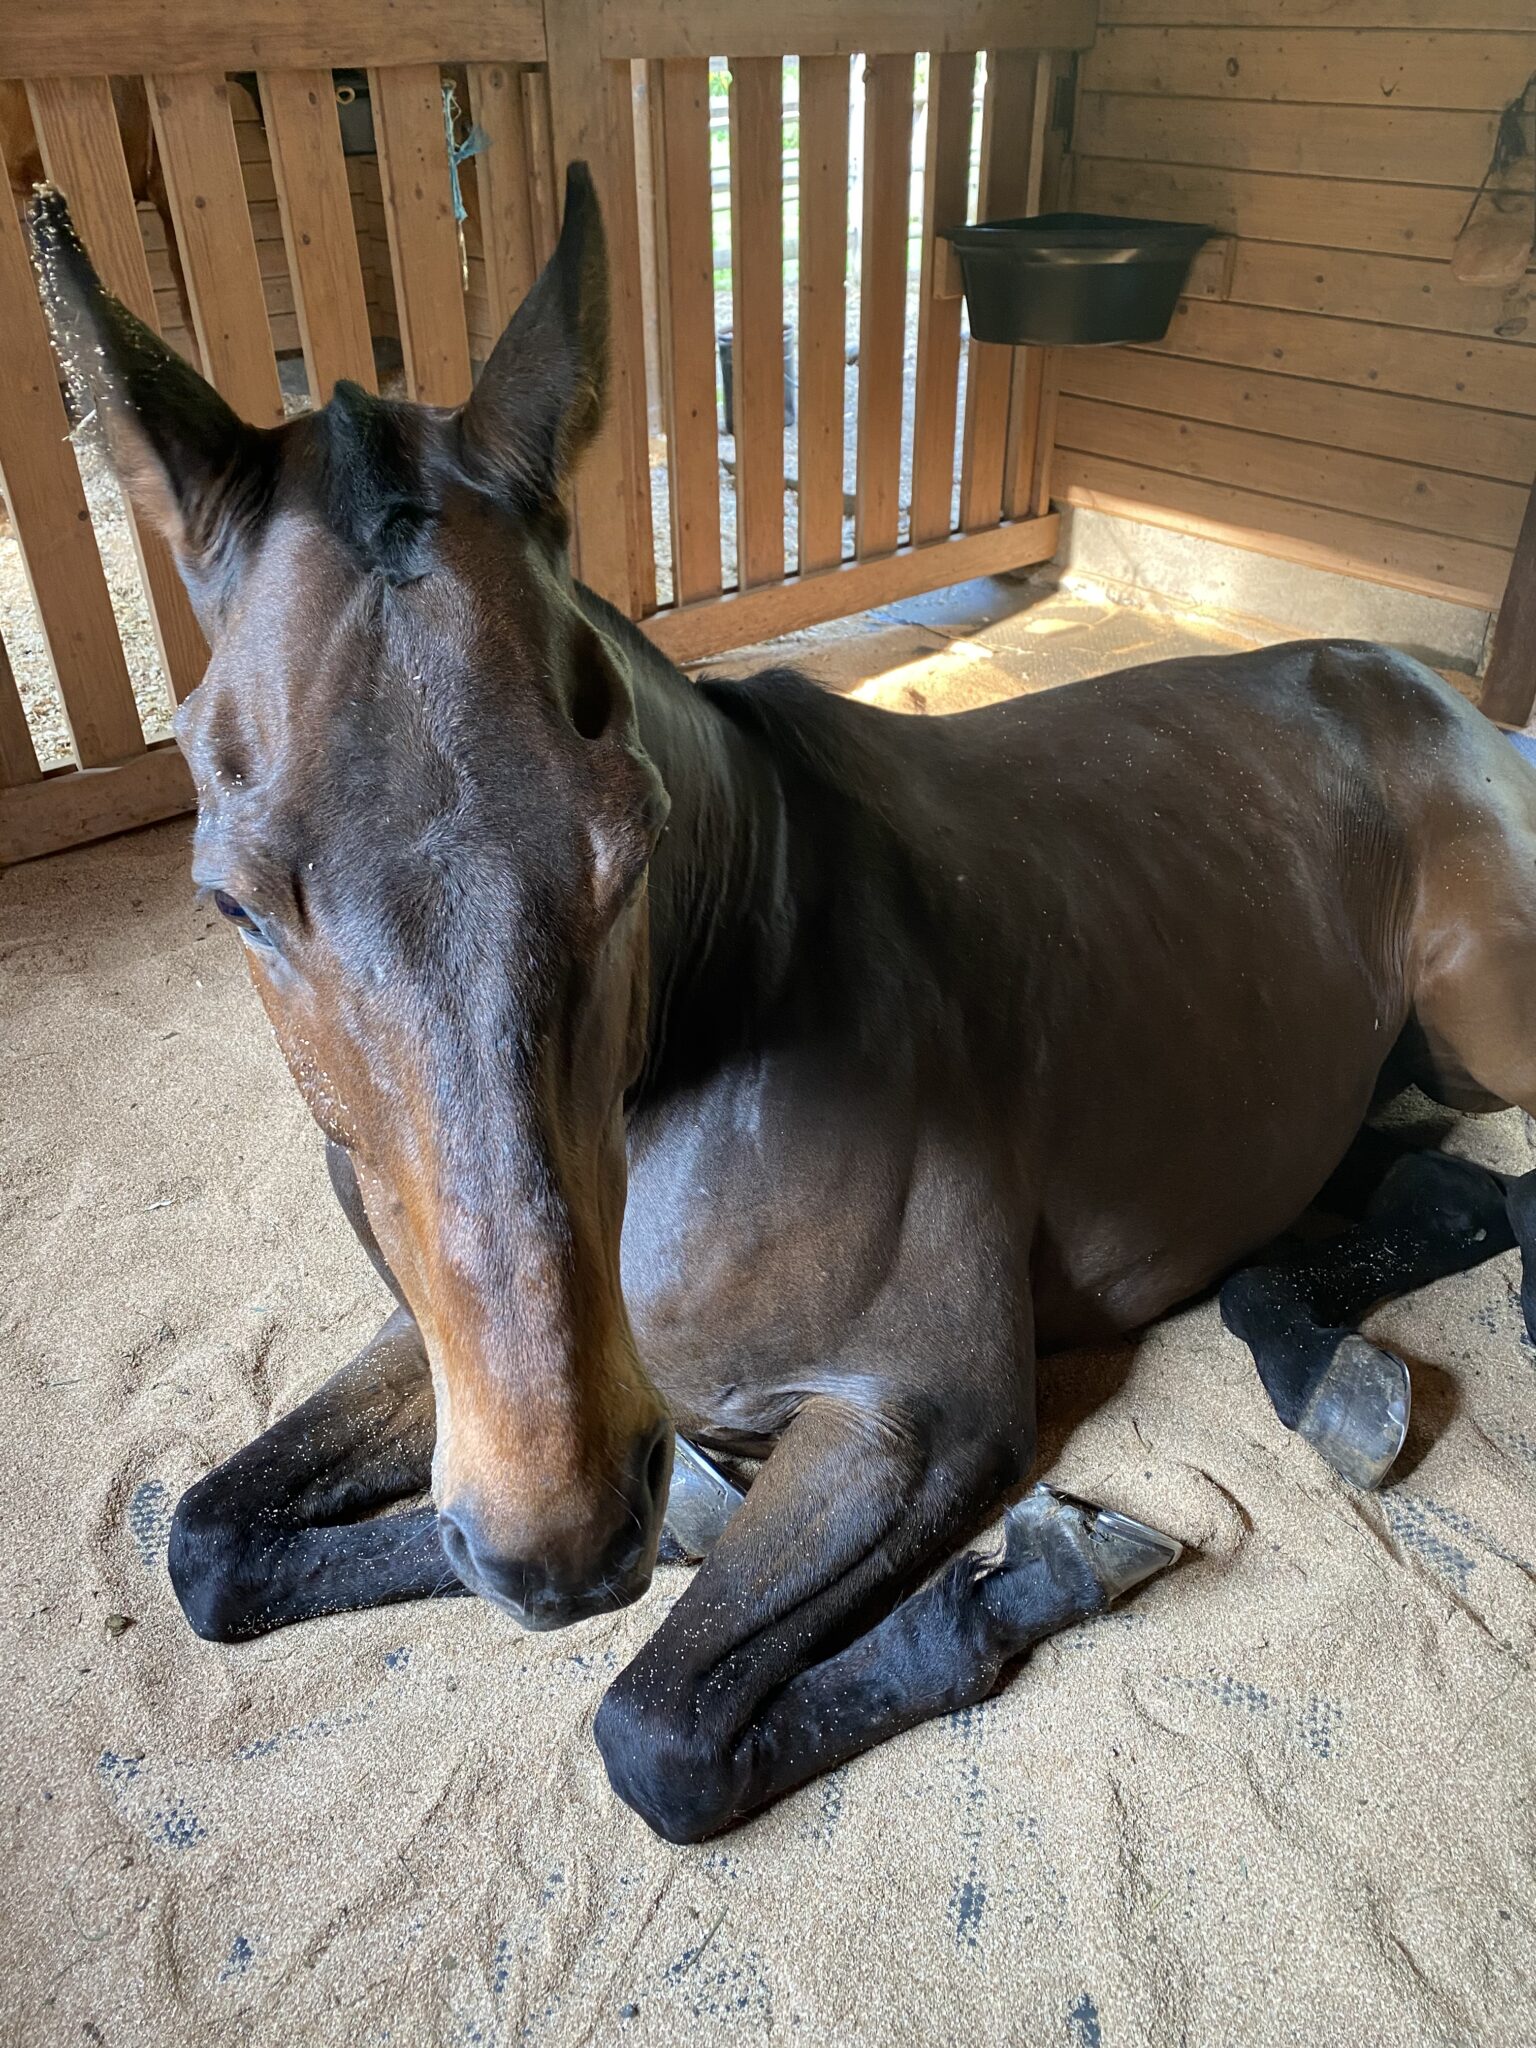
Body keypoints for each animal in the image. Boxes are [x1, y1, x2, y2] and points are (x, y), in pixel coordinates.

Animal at [31, 166, 1536, 1845]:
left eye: (626, 845)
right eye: (233, 899)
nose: (562, 1538)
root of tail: (1419, 683)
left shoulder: (916, 1412)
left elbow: (659, 1731)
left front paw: (1036, 1573)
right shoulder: (453, 1359)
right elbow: (211, 1545)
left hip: (1494, 1028)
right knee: (1440, 1194)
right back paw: (1330, 1367)